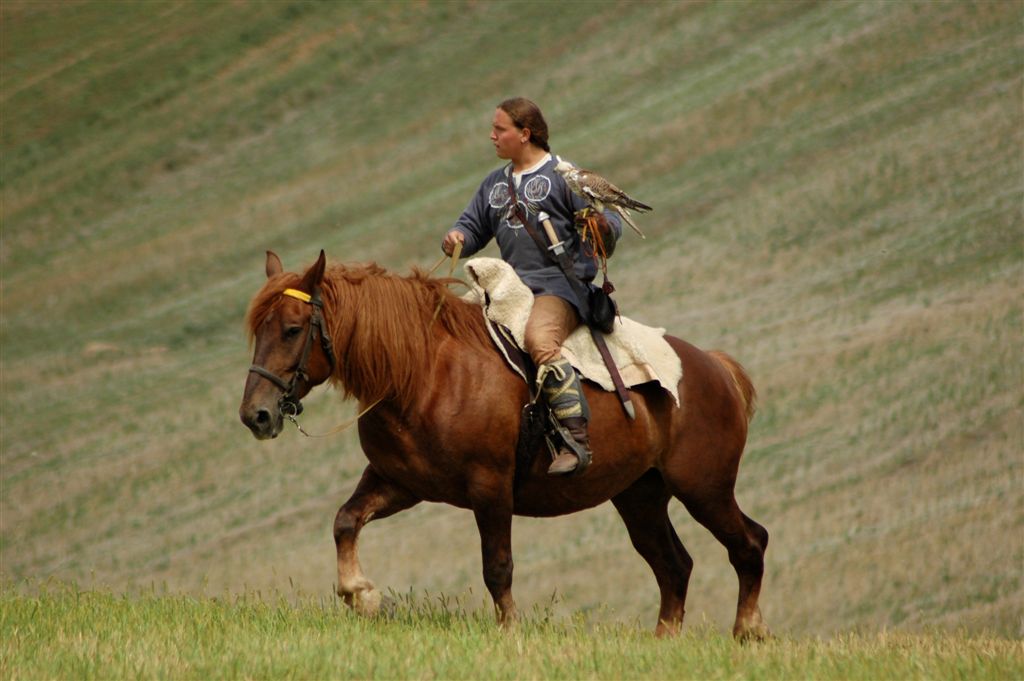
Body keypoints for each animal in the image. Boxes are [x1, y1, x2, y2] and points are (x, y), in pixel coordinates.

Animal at [239, 250, 769, 639]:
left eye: (291, 329)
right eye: (257, 330)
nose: (255, 415)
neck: (423, 373)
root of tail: (716, 367)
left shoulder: (490, 487)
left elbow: (497, 566)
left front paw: (509, 631)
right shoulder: (399, 483)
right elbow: (345, 520)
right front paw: (360, 594)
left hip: (705, 489)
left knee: (749, 543)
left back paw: (747, 630)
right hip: (640, 497)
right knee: (674, 566)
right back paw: (665, 640)